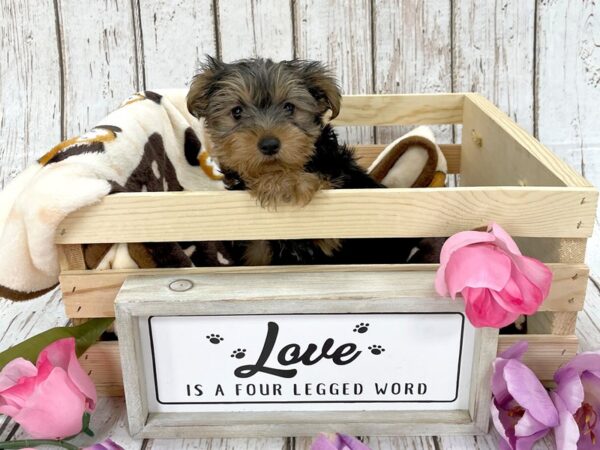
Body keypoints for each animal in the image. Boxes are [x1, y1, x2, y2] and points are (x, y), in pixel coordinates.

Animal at [185, 57, 424, 266]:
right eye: (236, 112)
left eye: (289, 107)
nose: (269, 144)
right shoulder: (256, 247)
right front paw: (280, 182)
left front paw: (288, 183)